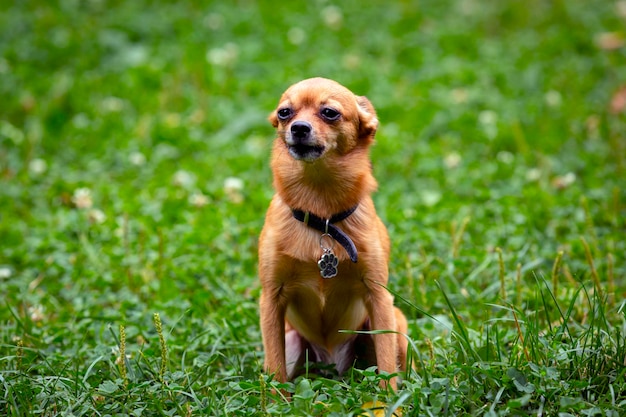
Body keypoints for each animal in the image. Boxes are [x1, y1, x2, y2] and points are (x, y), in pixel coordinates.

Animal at [258, 76, 408, 388]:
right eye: (284, 113)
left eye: (329, 112)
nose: (298, 127)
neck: (321, 215)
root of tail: (331, 364)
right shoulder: (271, 300)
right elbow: (276, 369)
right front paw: (277, 398)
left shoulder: (379, 298)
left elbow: (387, 364)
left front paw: (389, 398)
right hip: (294, 341)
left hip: (395, 321)